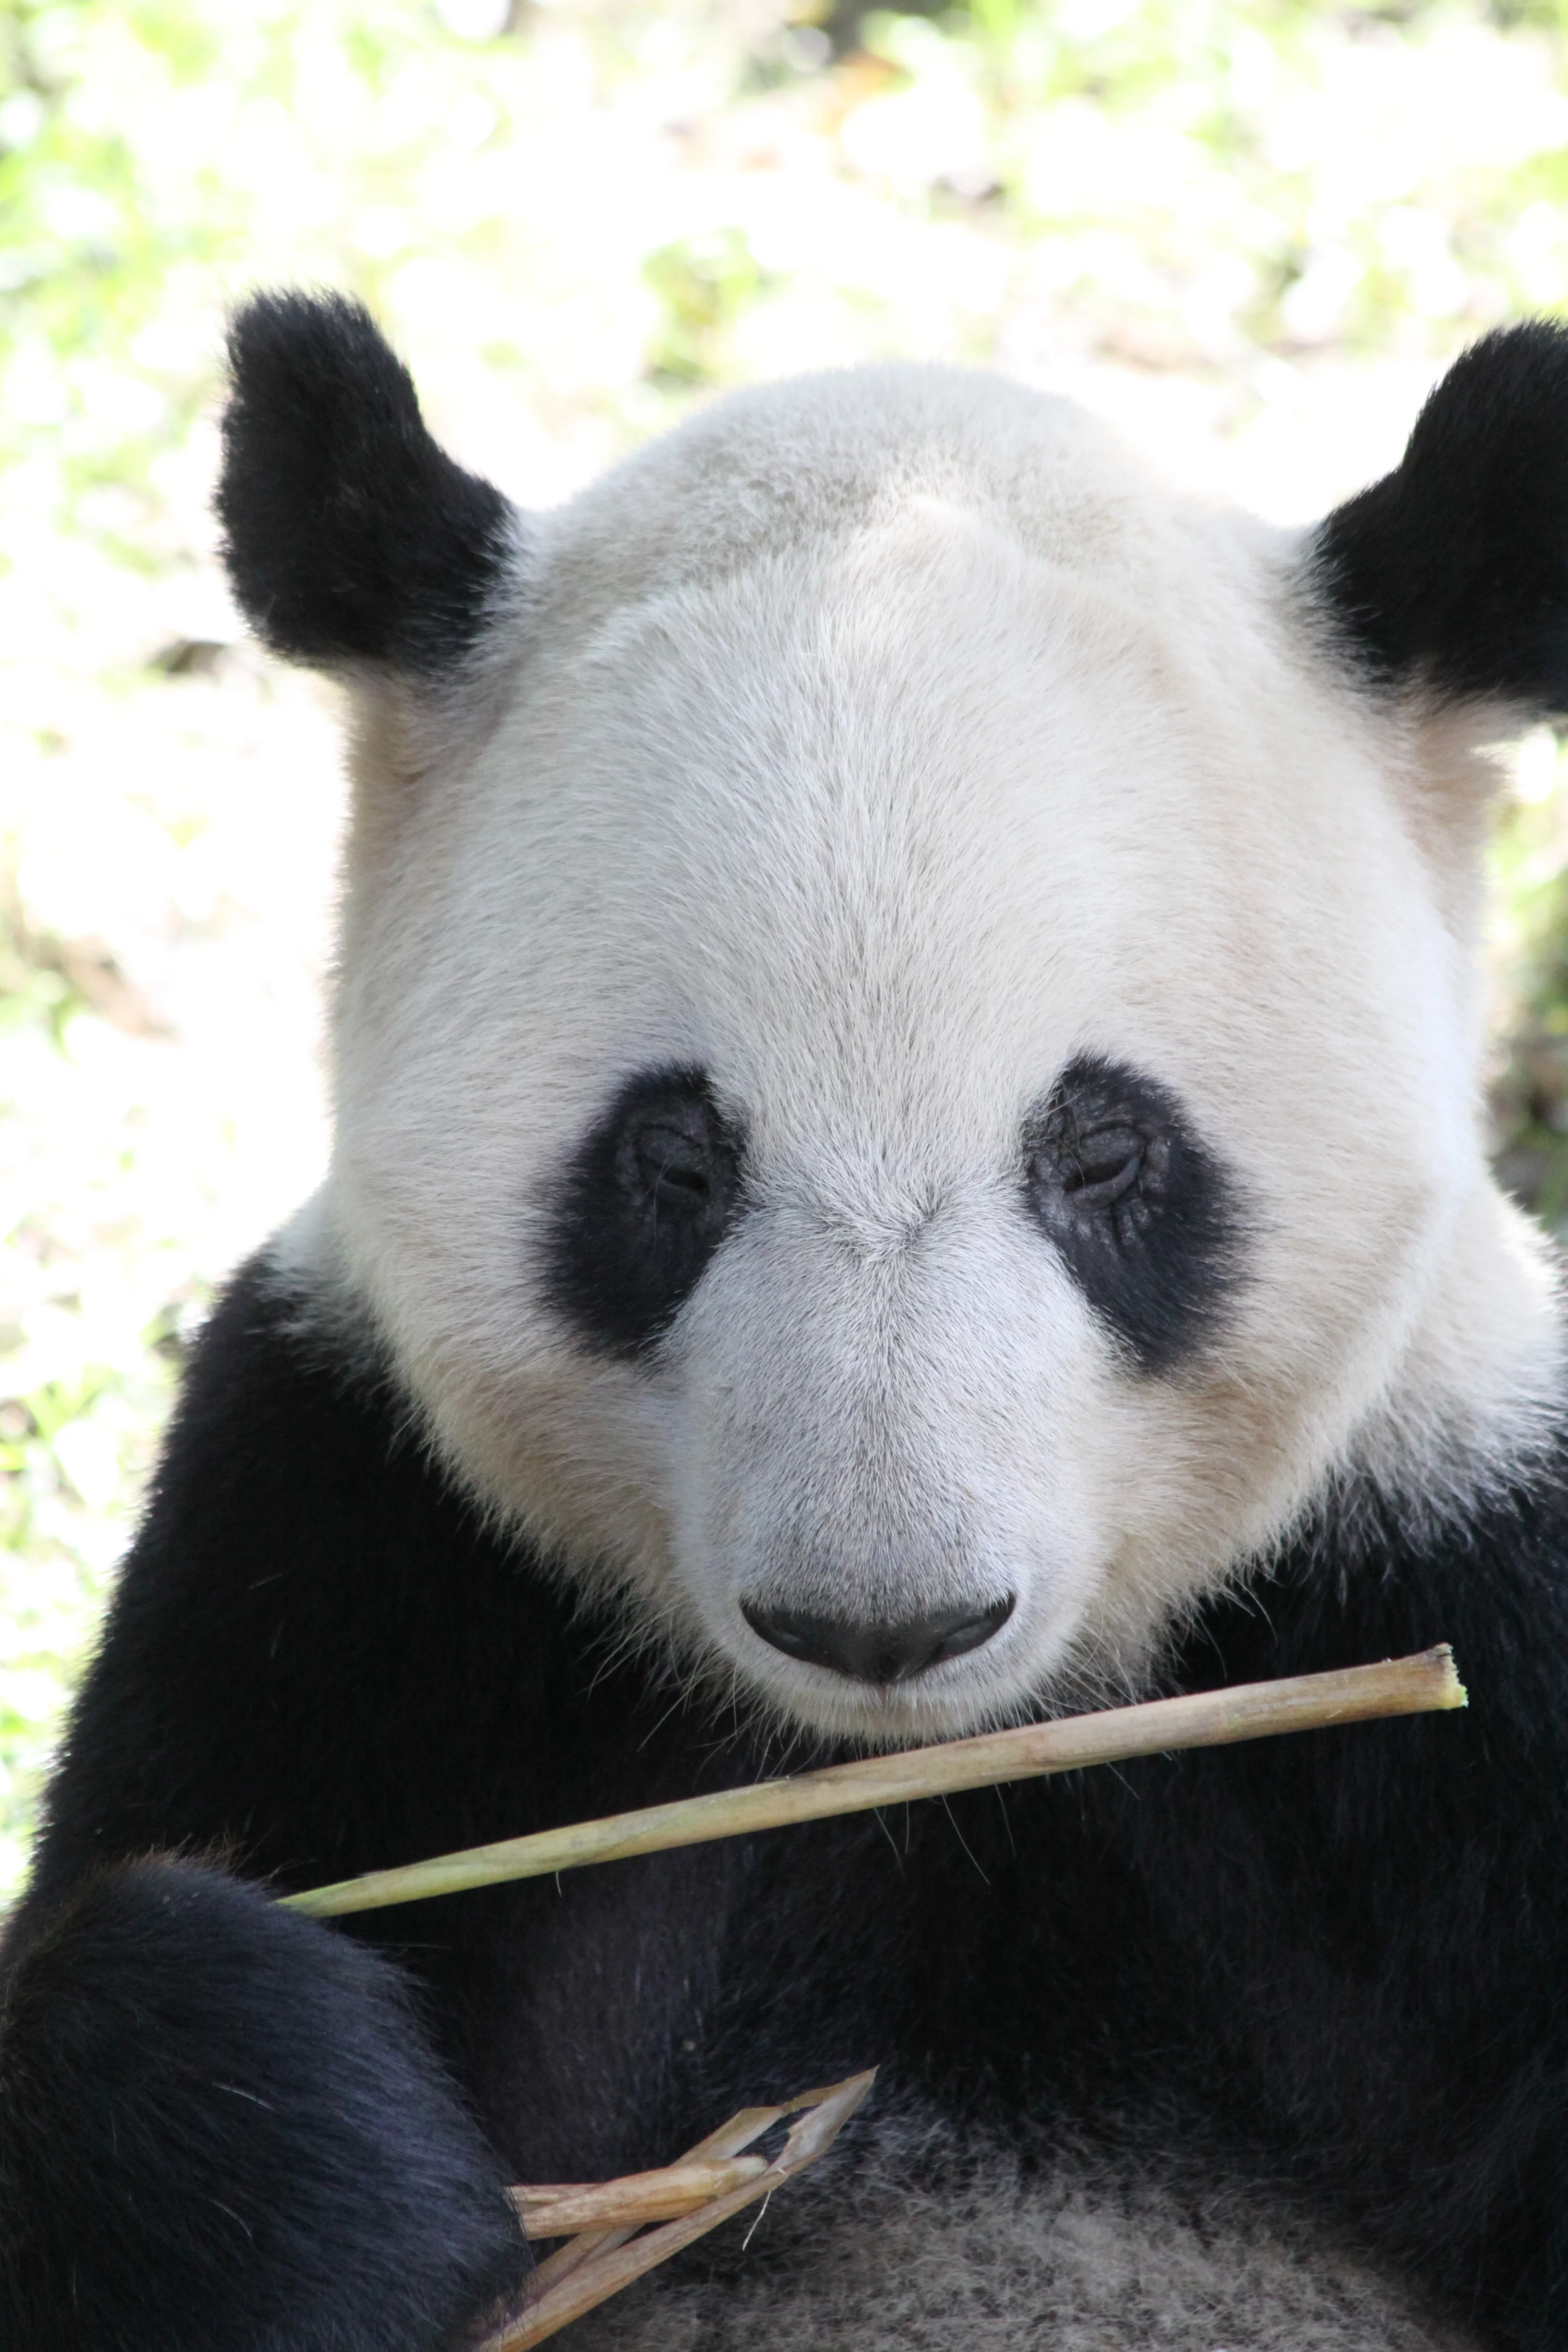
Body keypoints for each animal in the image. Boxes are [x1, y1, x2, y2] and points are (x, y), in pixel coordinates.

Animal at [4, 291, 1568, 2352]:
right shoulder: (354, 1548)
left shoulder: (1440, 1599)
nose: (882, 1622)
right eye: (673, 1161)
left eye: (1100, 1153)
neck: (935, 1781)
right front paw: (299, 2142)